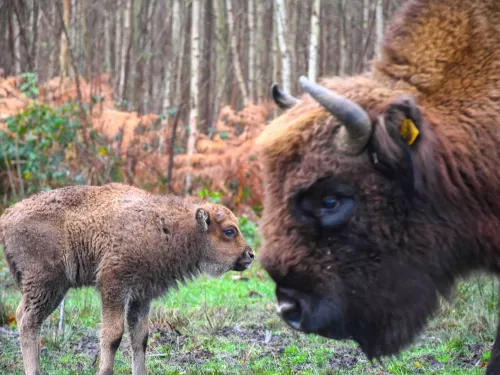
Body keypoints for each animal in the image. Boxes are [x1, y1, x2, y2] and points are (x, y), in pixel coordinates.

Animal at [0, 184, 254, 375]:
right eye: (230, 231)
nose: (250, 255)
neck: (165, 225)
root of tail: (7, 217)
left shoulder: (141, 296)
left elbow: (140, 338)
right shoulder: (113, 287)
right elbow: (113, 336)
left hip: (51, 288)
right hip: (46, 284)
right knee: (28, 320)